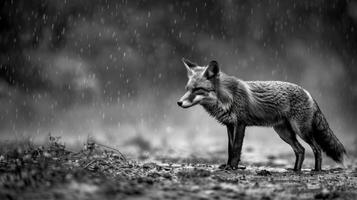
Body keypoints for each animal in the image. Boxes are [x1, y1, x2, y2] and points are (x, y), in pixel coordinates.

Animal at [177, 58, 344, 172]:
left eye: (197, 89)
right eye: (187, 89)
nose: (179, 102)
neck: (227, 97)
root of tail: (308, 92)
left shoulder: (241, 124)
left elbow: (236, 148)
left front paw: (233, 167)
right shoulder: (230, 125)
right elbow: (230, 149)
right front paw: (228, 166)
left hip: (302, 131)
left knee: (317, 149)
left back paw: (316, 170)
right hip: (284, 133)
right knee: (301, 150)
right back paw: (295, 170)